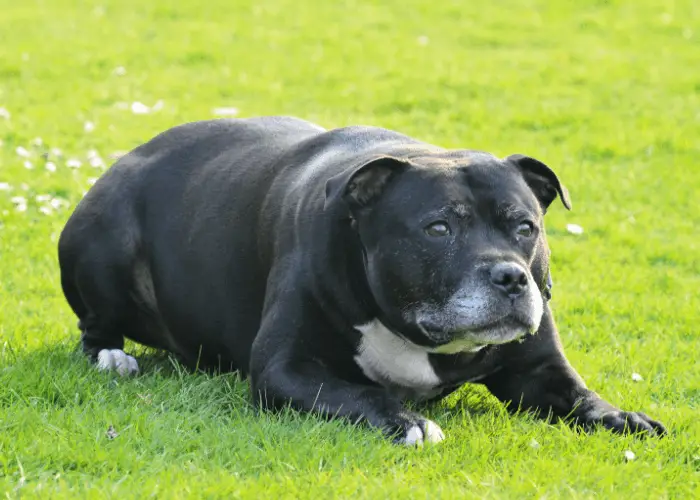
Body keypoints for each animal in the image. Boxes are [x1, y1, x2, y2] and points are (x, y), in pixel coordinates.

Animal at [57, 118, 664, 446]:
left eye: (525, 227)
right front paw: (406, 421)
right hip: (105, 236)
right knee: (96, 325)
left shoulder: (536, 370)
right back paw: (113, 356)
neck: (417, 335)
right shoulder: (285, 369)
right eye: (438, 228)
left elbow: (580, 397)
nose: (511, 276)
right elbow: (359, 391)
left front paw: (621, 416)